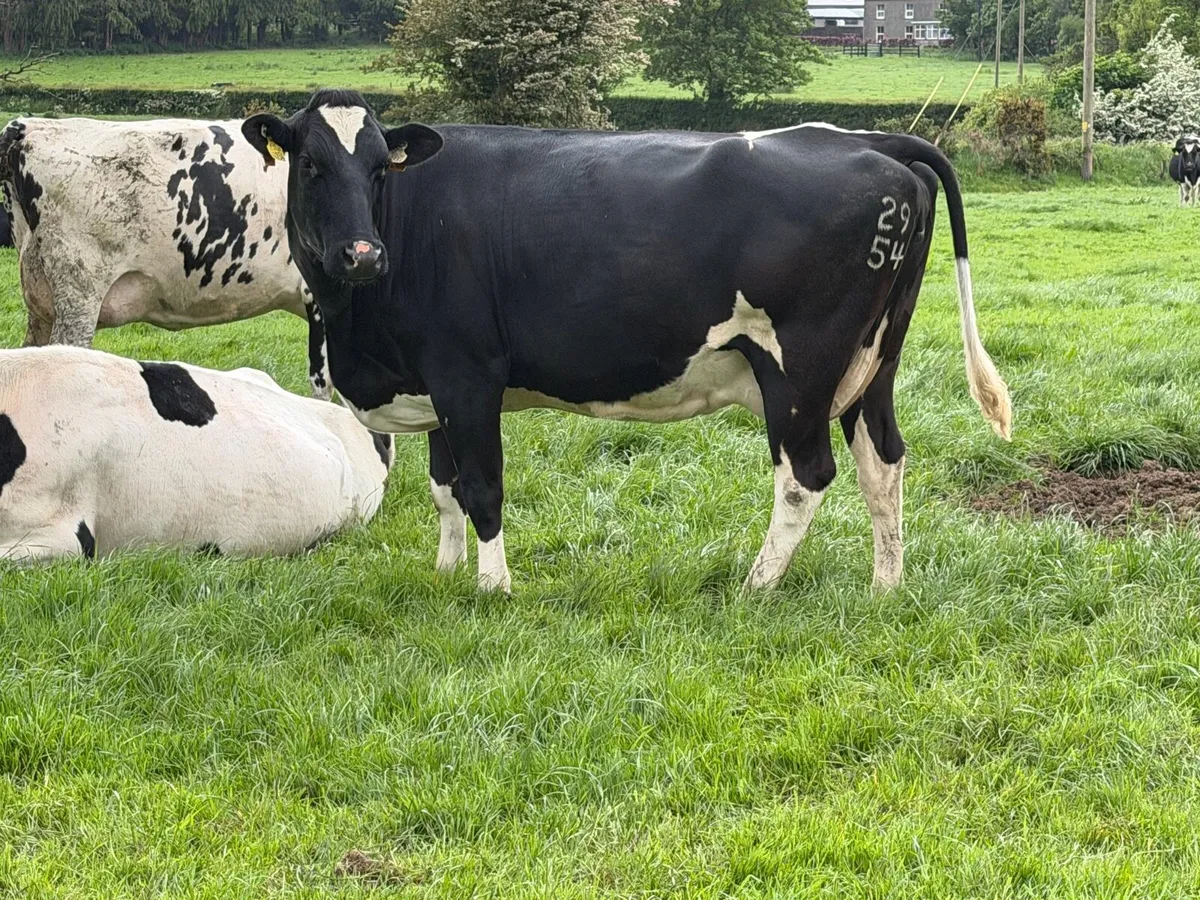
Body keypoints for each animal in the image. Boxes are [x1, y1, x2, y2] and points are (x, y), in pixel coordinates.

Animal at [242, 90, 1012, 593]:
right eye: (310, 165)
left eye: (379, 167)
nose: (362, 253)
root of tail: (864, 139)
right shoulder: (430, 381)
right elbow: (443, 489)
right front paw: (445, 572)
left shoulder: (467, 374)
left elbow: (482, 486)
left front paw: (492, 589)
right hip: (873, 362)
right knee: (883, 461)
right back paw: (886, 586)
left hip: (801, 368)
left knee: (805, 475)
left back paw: (757, 584)